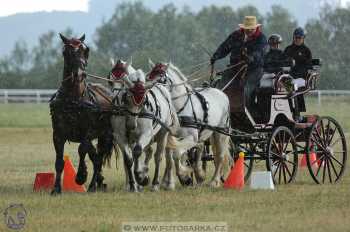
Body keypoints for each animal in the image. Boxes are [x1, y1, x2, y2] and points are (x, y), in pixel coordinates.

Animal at [50, 33, 113, 195]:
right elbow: (59, 161)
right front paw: (56, 189)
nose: (79, 74)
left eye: (86, 50)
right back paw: (98, 182)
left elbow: (82, 149)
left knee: (98, 158)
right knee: (95, 156)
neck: (74, 99)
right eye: (66, 52)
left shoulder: (87, 132)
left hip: (105, 135)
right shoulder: (58, 134)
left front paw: (80, 175)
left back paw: (92, 185)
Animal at [146, 60, 231, 188]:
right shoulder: (171, 138)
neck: (180, 108)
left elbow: (176, 155)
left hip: (220, 133)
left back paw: (214, 181)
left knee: (219, 156)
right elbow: (170, 159)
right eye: (148, 76)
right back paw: (199, 175)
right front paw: (170, 182)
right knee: (201, 148)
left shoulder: (190, 137)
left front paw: (184, 175)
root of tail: (222, 93)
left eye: (161, 79)